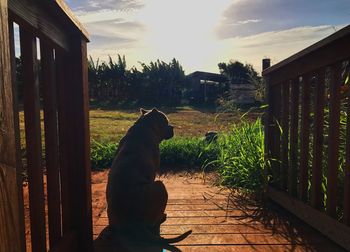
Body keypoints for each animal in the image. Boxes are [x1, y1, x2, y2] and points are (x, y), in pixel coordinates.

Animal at [106, 107, 191, 249]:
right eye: (166, 122)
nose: (172, 127)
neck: (144, 126)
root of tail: (133, 222)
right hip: (160, 187)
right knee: (153, 223)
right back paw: (162, 217)